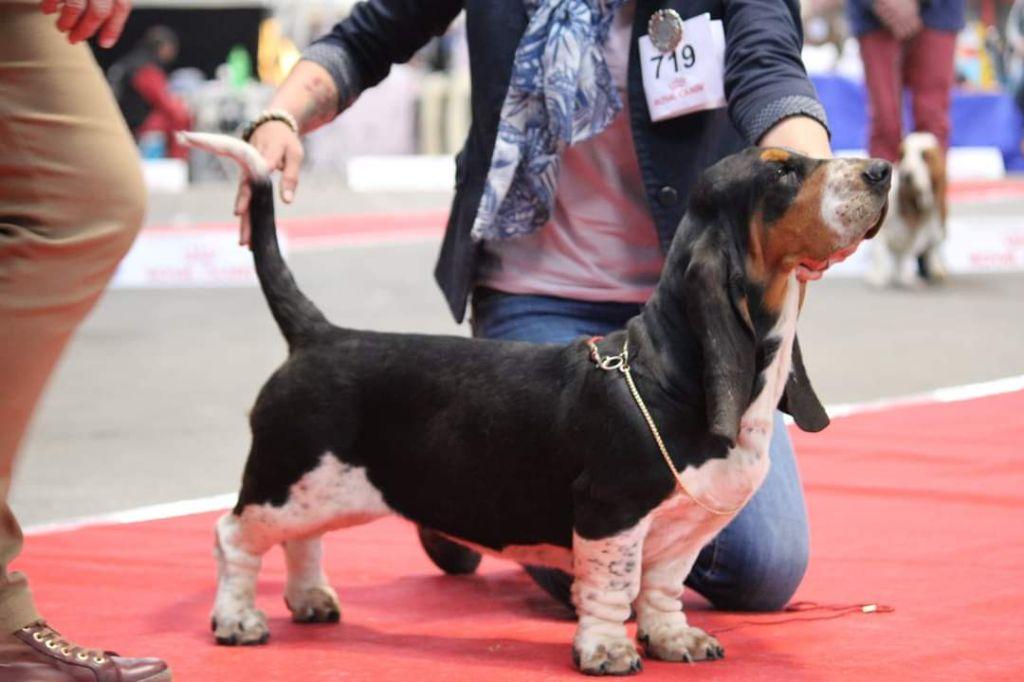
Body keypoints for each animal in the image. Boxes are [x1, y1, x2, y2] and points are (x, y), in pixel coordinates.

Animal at [868, 130, 946, 286]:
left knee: (933, 247)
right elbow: (880, 256)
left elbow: (905, 257)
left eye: (924, 156)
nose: (906, 176)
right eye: (902, 155)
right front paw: (878, 278)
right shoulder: (880, 234)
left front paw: (906, 278)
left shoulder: (914, 238)